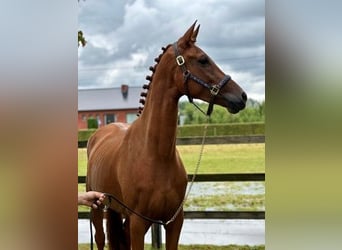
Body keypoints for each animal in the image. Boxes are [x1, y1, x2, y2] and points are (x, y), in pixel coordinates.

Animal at [85, 22, 246, 250]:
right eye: (203, 59)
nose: (242, 96)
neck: (156, 155)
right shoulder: (138, 222)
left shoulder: (174, 221)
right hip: (97, 208)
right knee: (100, 238)